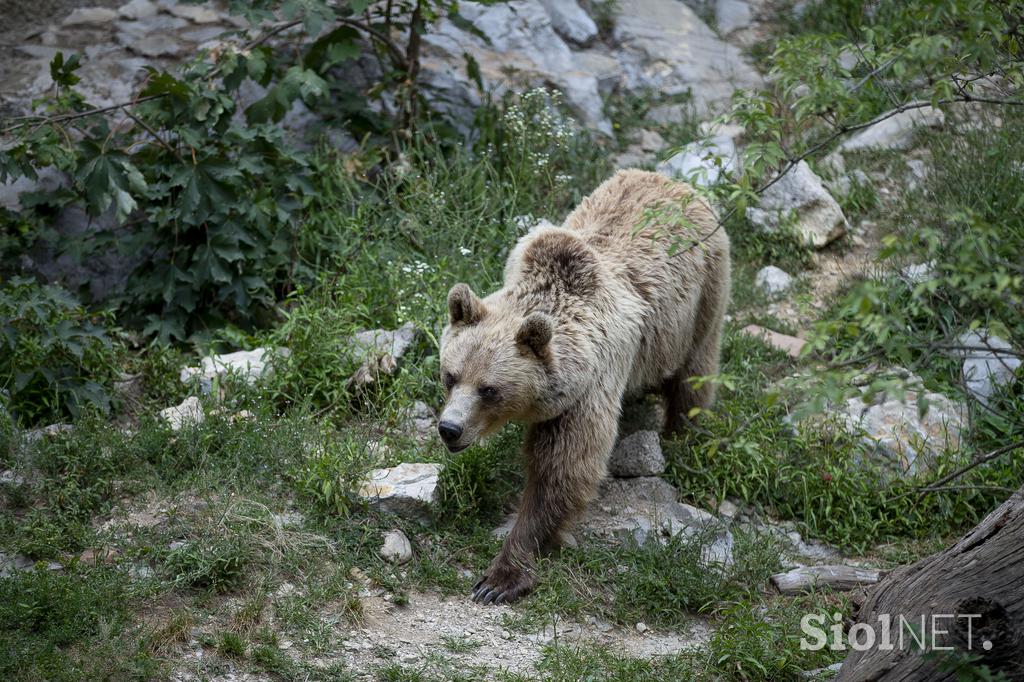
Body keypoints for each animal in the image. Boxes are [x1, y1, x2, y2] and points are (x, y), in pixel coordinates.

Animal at [436, 166, 733, 602]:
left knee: (693, 375)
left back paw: (681, 432)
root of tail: (674, 181)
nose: (450, 428)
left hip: (700, 301)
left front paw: (500, 577)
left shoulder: (590, 386)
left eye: (489, 389)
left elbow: (562, 470)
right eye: (450, 376)